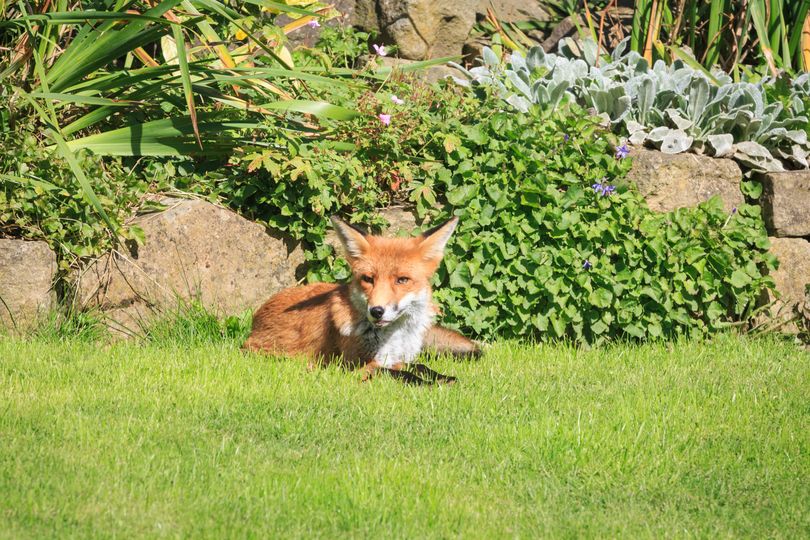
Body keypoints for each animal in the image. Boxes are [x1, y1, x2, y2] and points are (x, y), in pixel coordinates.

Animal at [243, 215, 481, 384]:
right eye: (368, 279)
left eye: (402, 280)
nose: (376, 311)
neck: (395, 337)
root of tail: (255, 321)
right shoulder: (348, 368)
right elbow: (398, 374)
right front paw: (429, 384)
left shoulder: (396, 358)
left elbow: (420, 367)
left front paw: (443, 378)